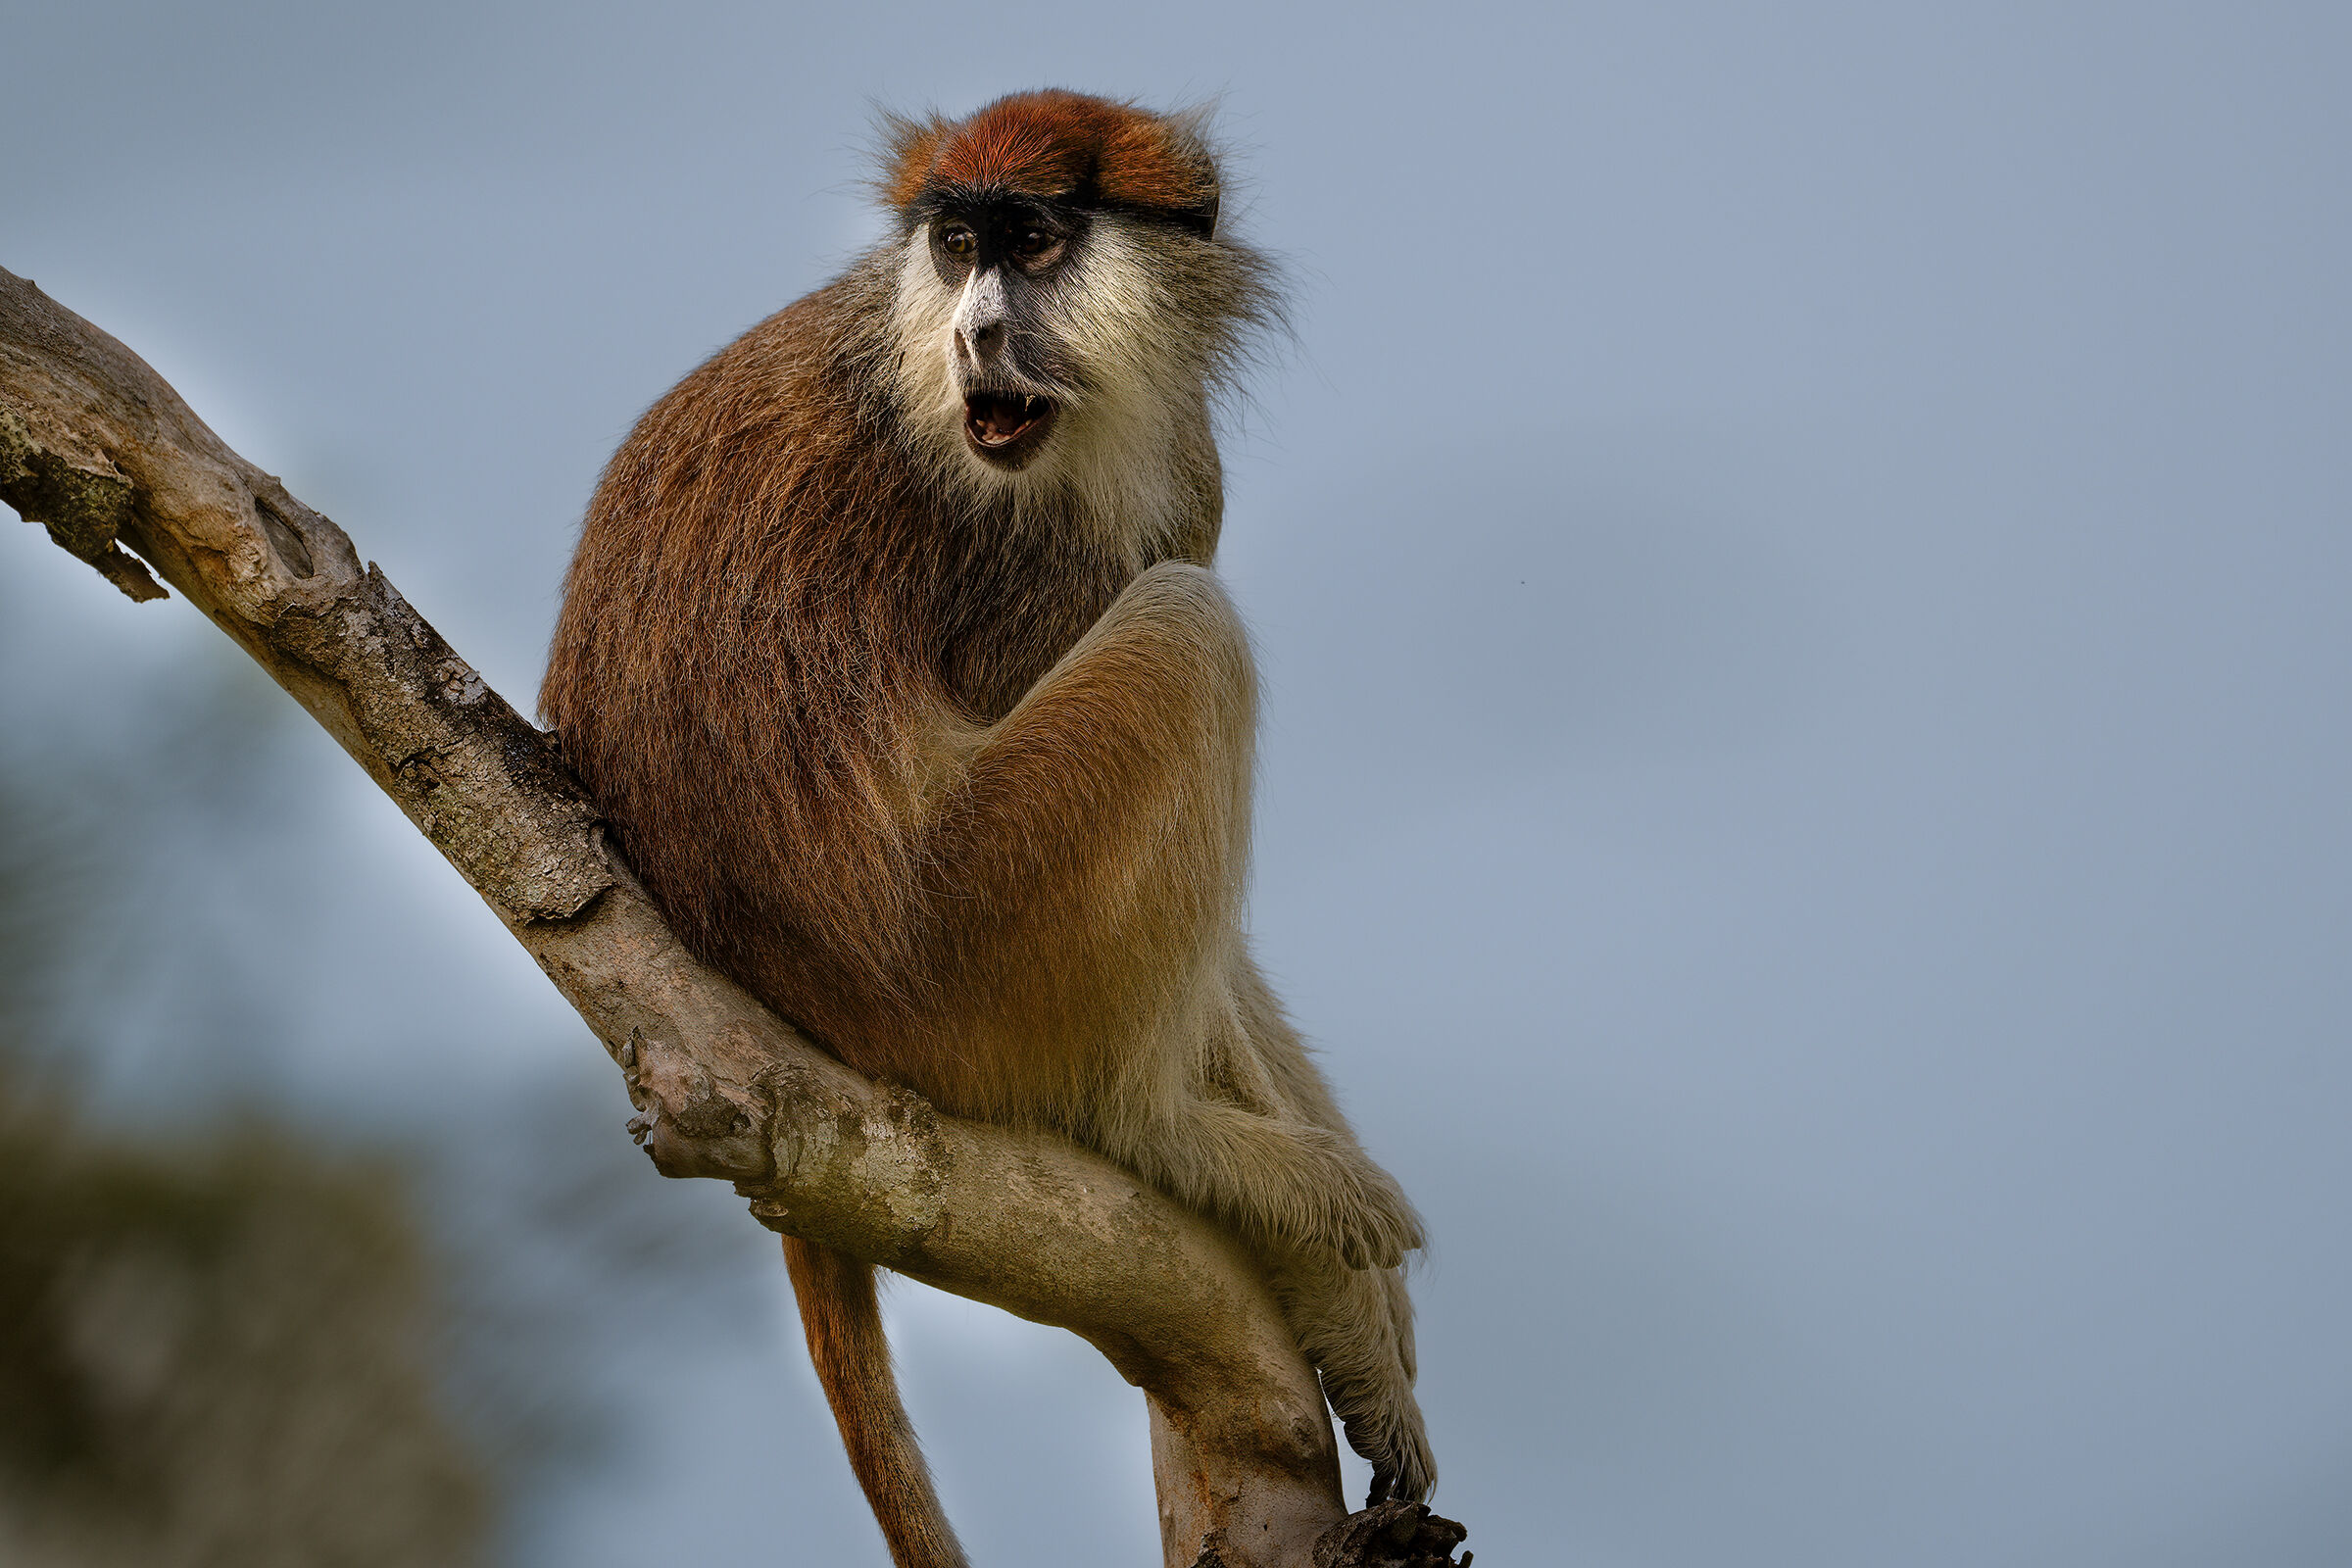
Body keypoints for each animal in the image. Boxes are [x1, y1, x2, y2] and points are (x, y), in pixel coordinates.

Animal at [541, 89, 1433, 1567]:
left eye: (1032, 244)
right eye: (956, 245)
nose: (977, 331)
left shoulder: (1185, 472)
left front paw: (1374, 1341)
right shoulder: (1032, 555)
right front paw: (1340, 1292)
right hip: (973, 957)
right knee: (1188, 635)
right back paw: (1154, 1127)